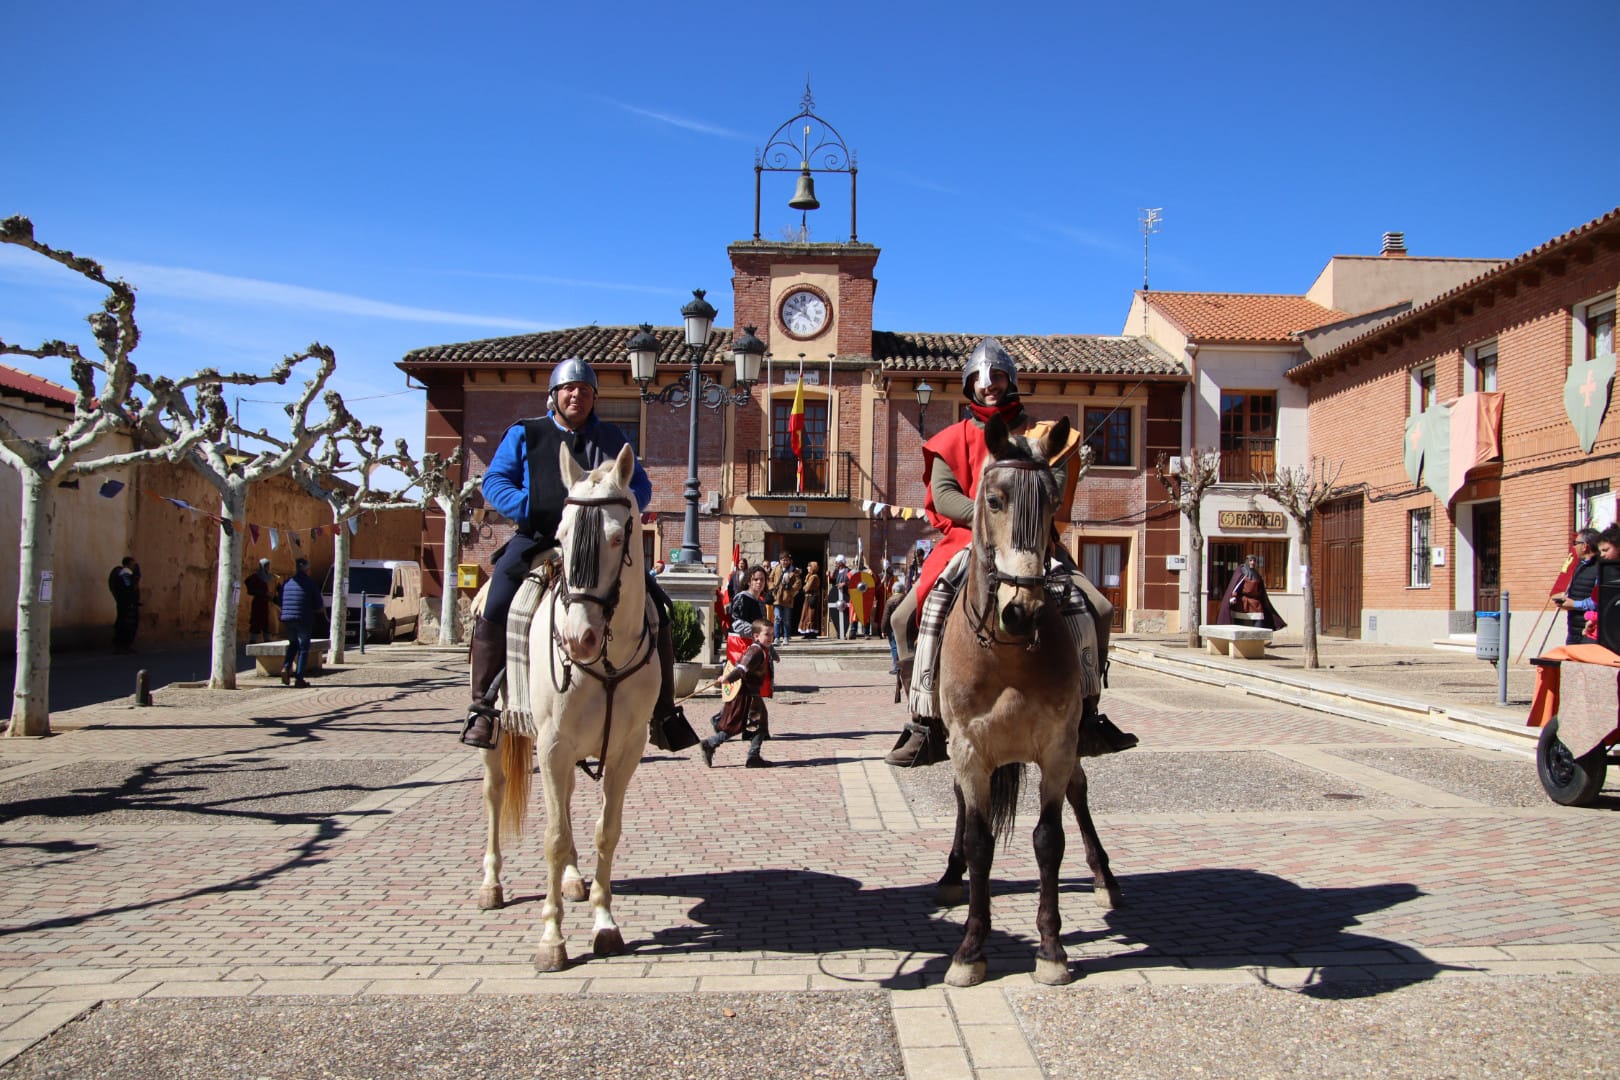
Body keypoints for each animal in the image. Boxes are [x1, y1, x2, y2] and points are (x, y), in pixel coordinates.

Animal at [479, 440, 657, 971]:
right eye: (560, 534)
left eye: (619, 537)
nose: (579, 638)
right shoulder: (552, 746)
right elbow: (553, 839)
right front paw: (552, 940)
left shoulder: (626, 751)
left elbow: (605, 831)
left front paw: (604, 923)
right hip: (499, 736)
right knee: (494, 794)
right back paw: (491, 884)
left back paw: (576, 881)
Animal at [933, 417, 1121, 990]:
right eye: (993, 499)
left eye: (1054, 500)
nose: (1024, 610)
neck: (1008, 653)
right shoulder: (968, 750)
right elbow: (979, 841)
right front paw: (970, 949)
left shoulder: (1057, 747)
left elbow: (1048, 840)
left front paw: (1052, 949)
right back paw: (951, 874)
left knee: (1081, 794)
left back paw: (1105, 878)